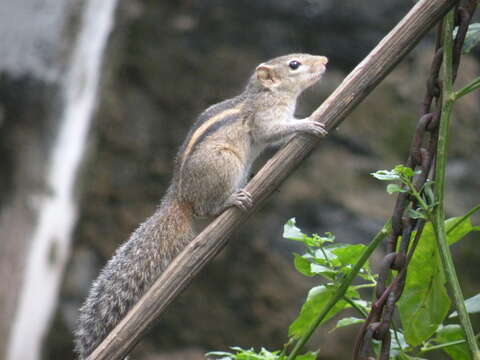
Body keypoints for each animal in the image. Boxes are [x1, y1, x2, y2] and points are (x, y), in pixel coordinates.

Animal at [76, 52, 330, 358]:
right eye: (294, 64)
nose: (325, 60)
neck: (266, 93)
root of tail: (178, 194)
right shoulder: (265, 117)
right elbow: (273, 132)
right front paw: (307, 124)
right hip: (225, 163)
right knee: (205, 209)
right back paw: (232, 199)